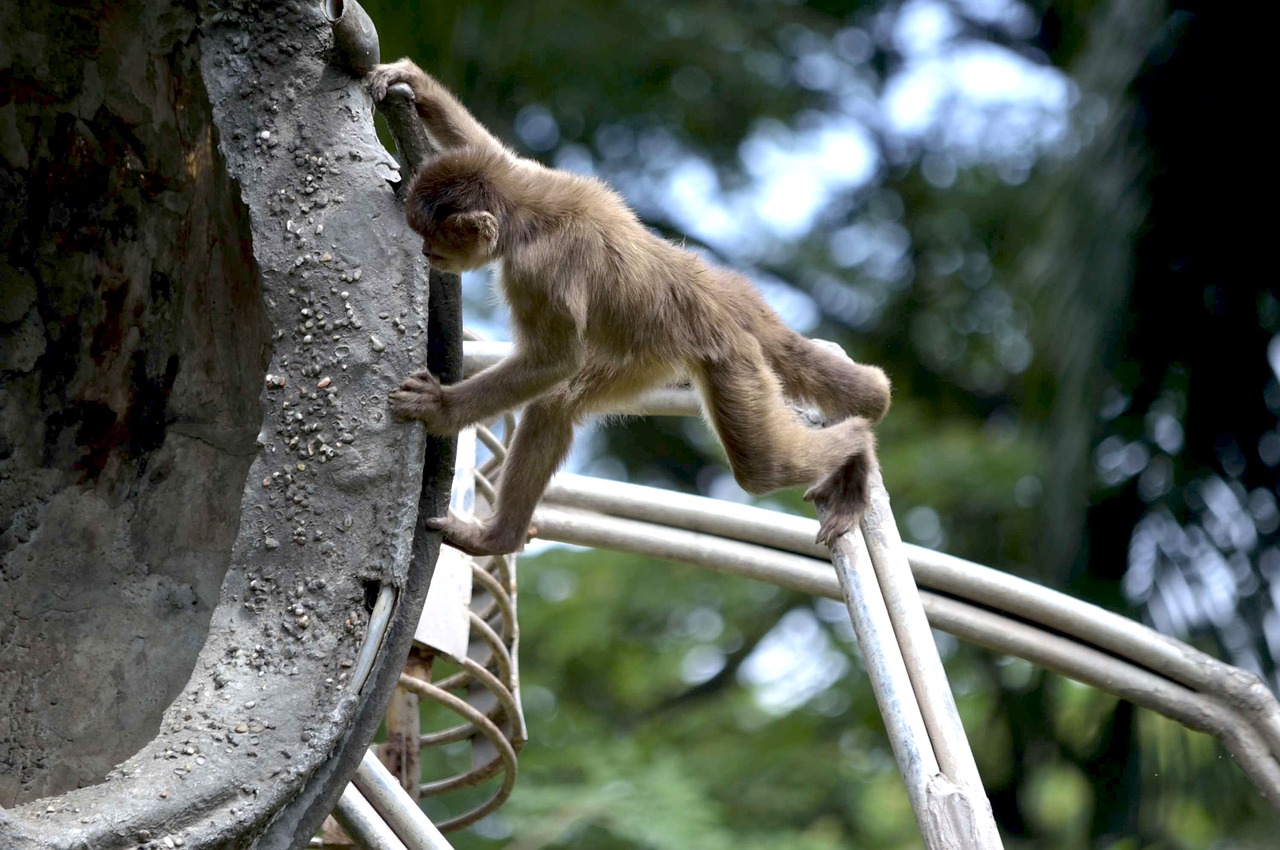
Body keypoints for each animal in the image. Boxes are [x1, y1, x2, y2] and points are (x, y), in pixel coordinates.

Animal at [368, 56, 890, 555]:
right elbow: (493, 150)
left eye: (433, 241)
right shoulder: (534, 179)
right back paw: (498, 539)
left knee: (762, 467)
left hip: (731, 364)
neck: (528, 215)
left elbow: (556, 360)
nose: (425, 253)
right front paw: (412, 80)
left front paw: (440, 408)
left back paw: (859, 449)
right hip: (658, 354)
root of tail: (722, 299)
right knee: (559, 402)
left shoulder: (538, 271)